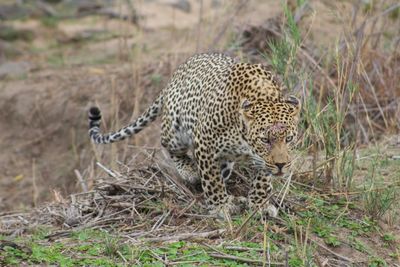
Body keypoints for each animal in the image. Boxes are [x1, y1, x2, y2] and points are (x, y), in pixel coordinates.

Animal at [88, 52, 300, 220]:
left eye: (289, 139)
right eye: (265, 140)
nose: (281, 165)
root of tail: (174, 76)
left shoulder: (261, 160)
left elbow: (262, 179)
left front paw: (259, 205)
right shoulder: (205, 142)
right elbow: (212, 181)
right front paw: (220, 208)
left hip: (224, 160)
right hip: (175, 131)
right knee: (171, 148)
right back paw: (189, 171)